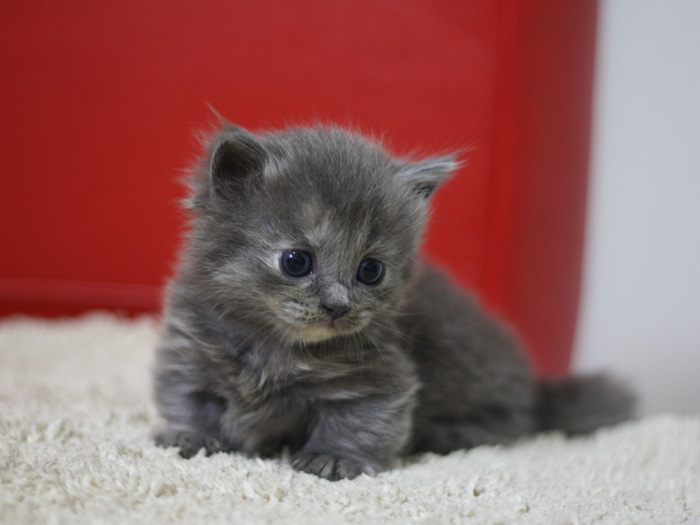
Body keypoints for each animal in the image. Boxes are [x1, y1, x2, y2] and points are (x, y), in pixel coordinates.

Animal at [153, 122, 636, 478]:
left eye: (371, 270)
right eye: (296, 261)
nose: (337, 306)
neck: (277, 348)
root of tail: (536, 391)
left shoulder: (379, 378)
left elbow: (361, 424)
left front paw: (333, 458)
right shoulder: (190, 352)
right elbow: (185, 399)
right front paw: (190, 437)